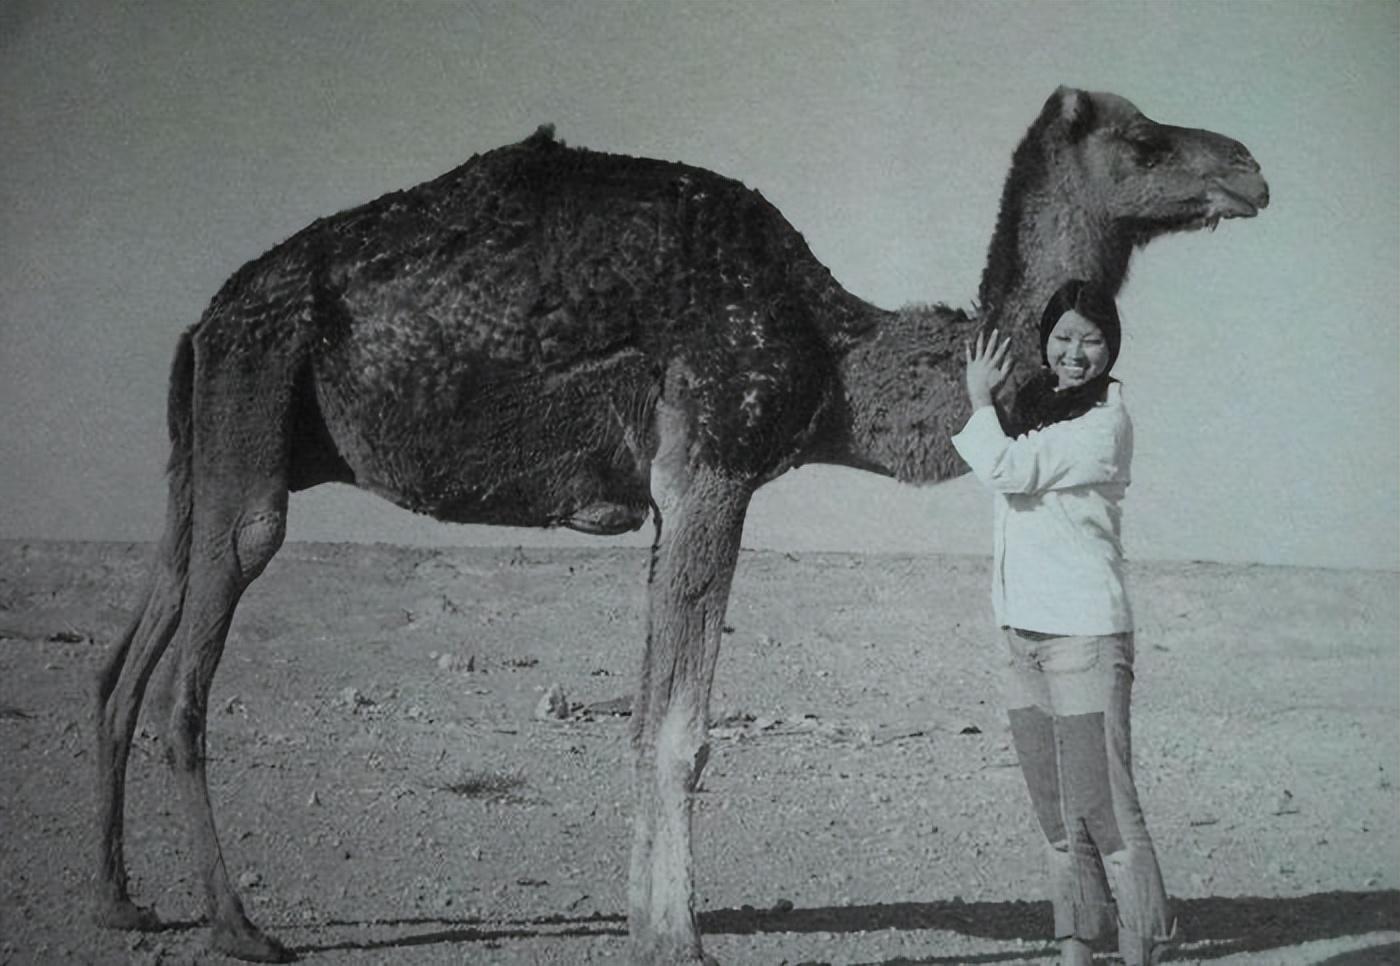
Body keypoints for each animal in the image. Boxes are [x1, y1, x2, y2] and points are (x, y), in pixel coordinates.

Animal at [93, 86, 1265, 957]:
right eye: (1144, 139)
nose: (1250, 167)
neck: (835, 354)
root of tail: (209, 313)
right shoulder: (711, 466)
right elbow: (680, 731)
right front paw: (676, 938)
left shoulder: (678, 493)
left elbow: (647, 712)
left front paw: (640, 920)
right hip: (255, 410)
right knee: (194, 665)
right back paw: (237, 927)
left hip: (209, 438)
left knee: (129, 649)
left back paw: (119, 899)